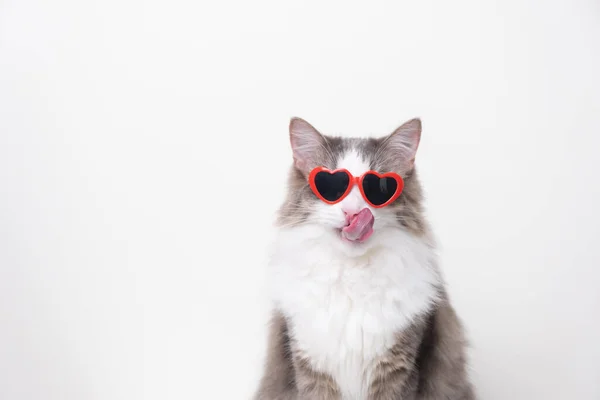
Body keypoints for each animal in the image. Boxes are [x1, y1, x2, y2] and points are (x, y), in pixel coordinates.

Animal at [253, 117, 474, 398]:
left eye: (380, 187)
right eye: (331, 186)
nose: (353, 213)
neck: (352, 275)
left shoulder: (398, 369)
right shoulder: (311, 368)